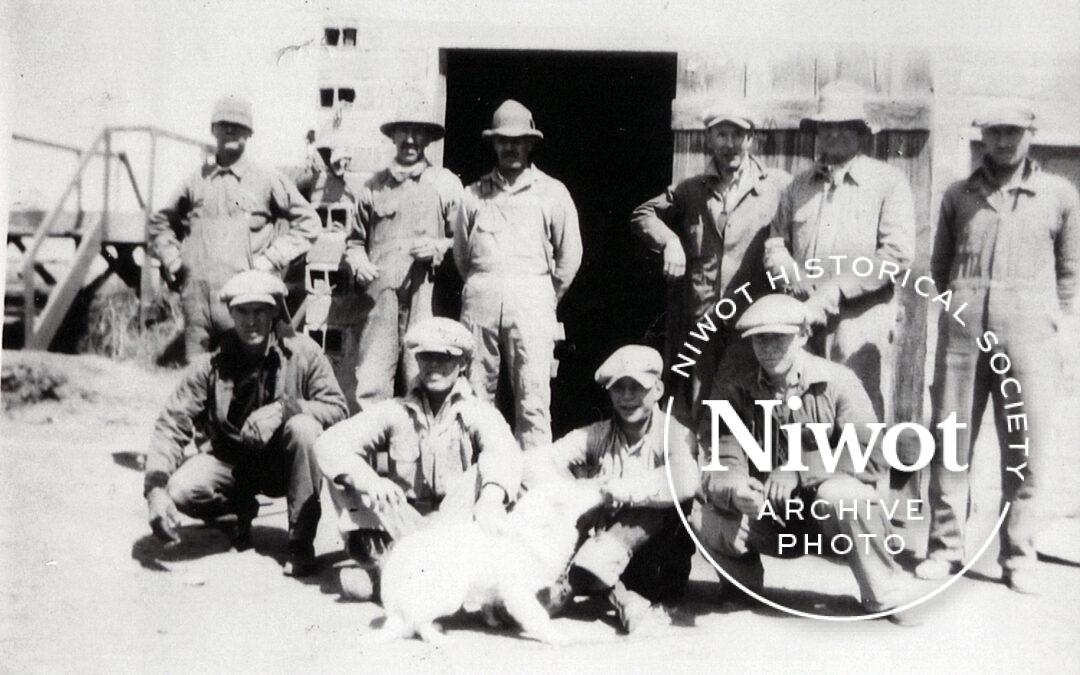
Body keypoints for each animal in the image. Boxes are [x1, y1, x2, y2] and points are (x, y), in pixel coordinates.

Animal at [375, 479, 604, 643]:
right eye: (576, 489)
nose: (604, 491)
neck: (540, 528)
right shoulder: (519, 592)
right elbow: (539, 616)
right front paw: (556, 638)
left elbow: (488, 604)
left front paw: (492, 620)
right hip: (450, 595)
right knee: (419, 621)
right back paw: (437, 637)